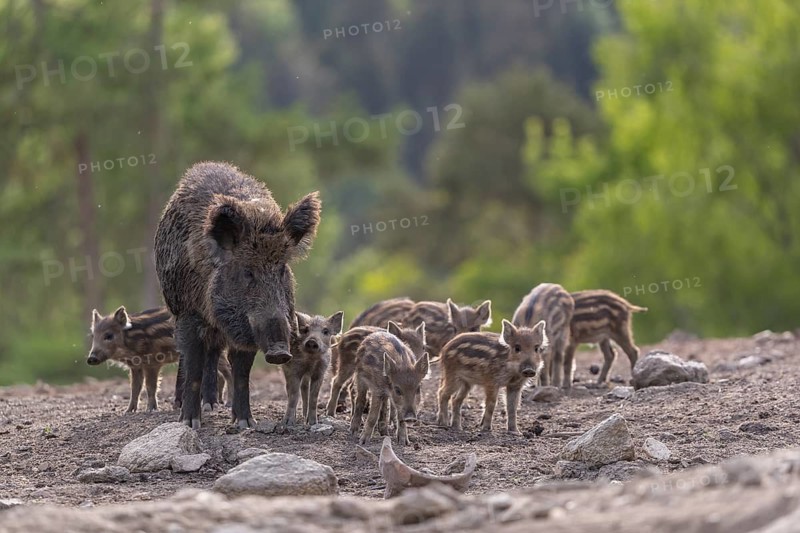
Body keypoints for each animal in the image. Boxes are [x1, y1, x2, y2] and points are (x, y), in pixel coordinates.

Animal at [87, 306, 233, 412]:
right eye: (93, 336)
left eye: (109, 335)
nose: (91, 358)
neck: (132, 341)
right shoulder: (136, 366)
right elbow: (135, 387)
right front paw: (128, 411)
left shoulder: (152, 363)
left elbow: (150, 386)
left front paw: (150, 410)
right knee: (219, 374)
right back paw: (219, 401)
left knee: (228, 370)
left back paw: (228, 404)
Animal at [154, 161, 320, 429]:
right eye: (247, 272)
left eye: (282, 269)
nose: (280, 352)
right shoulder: (189, 312)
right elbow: (193, 363)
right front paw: (190, 422)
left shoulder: (247, 329)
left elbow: (242, 372)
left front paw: (245, 423)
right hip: (175, 307)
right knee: (191, 355)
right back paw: (186, 406)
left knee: (213, 352)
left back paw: (212, 405)